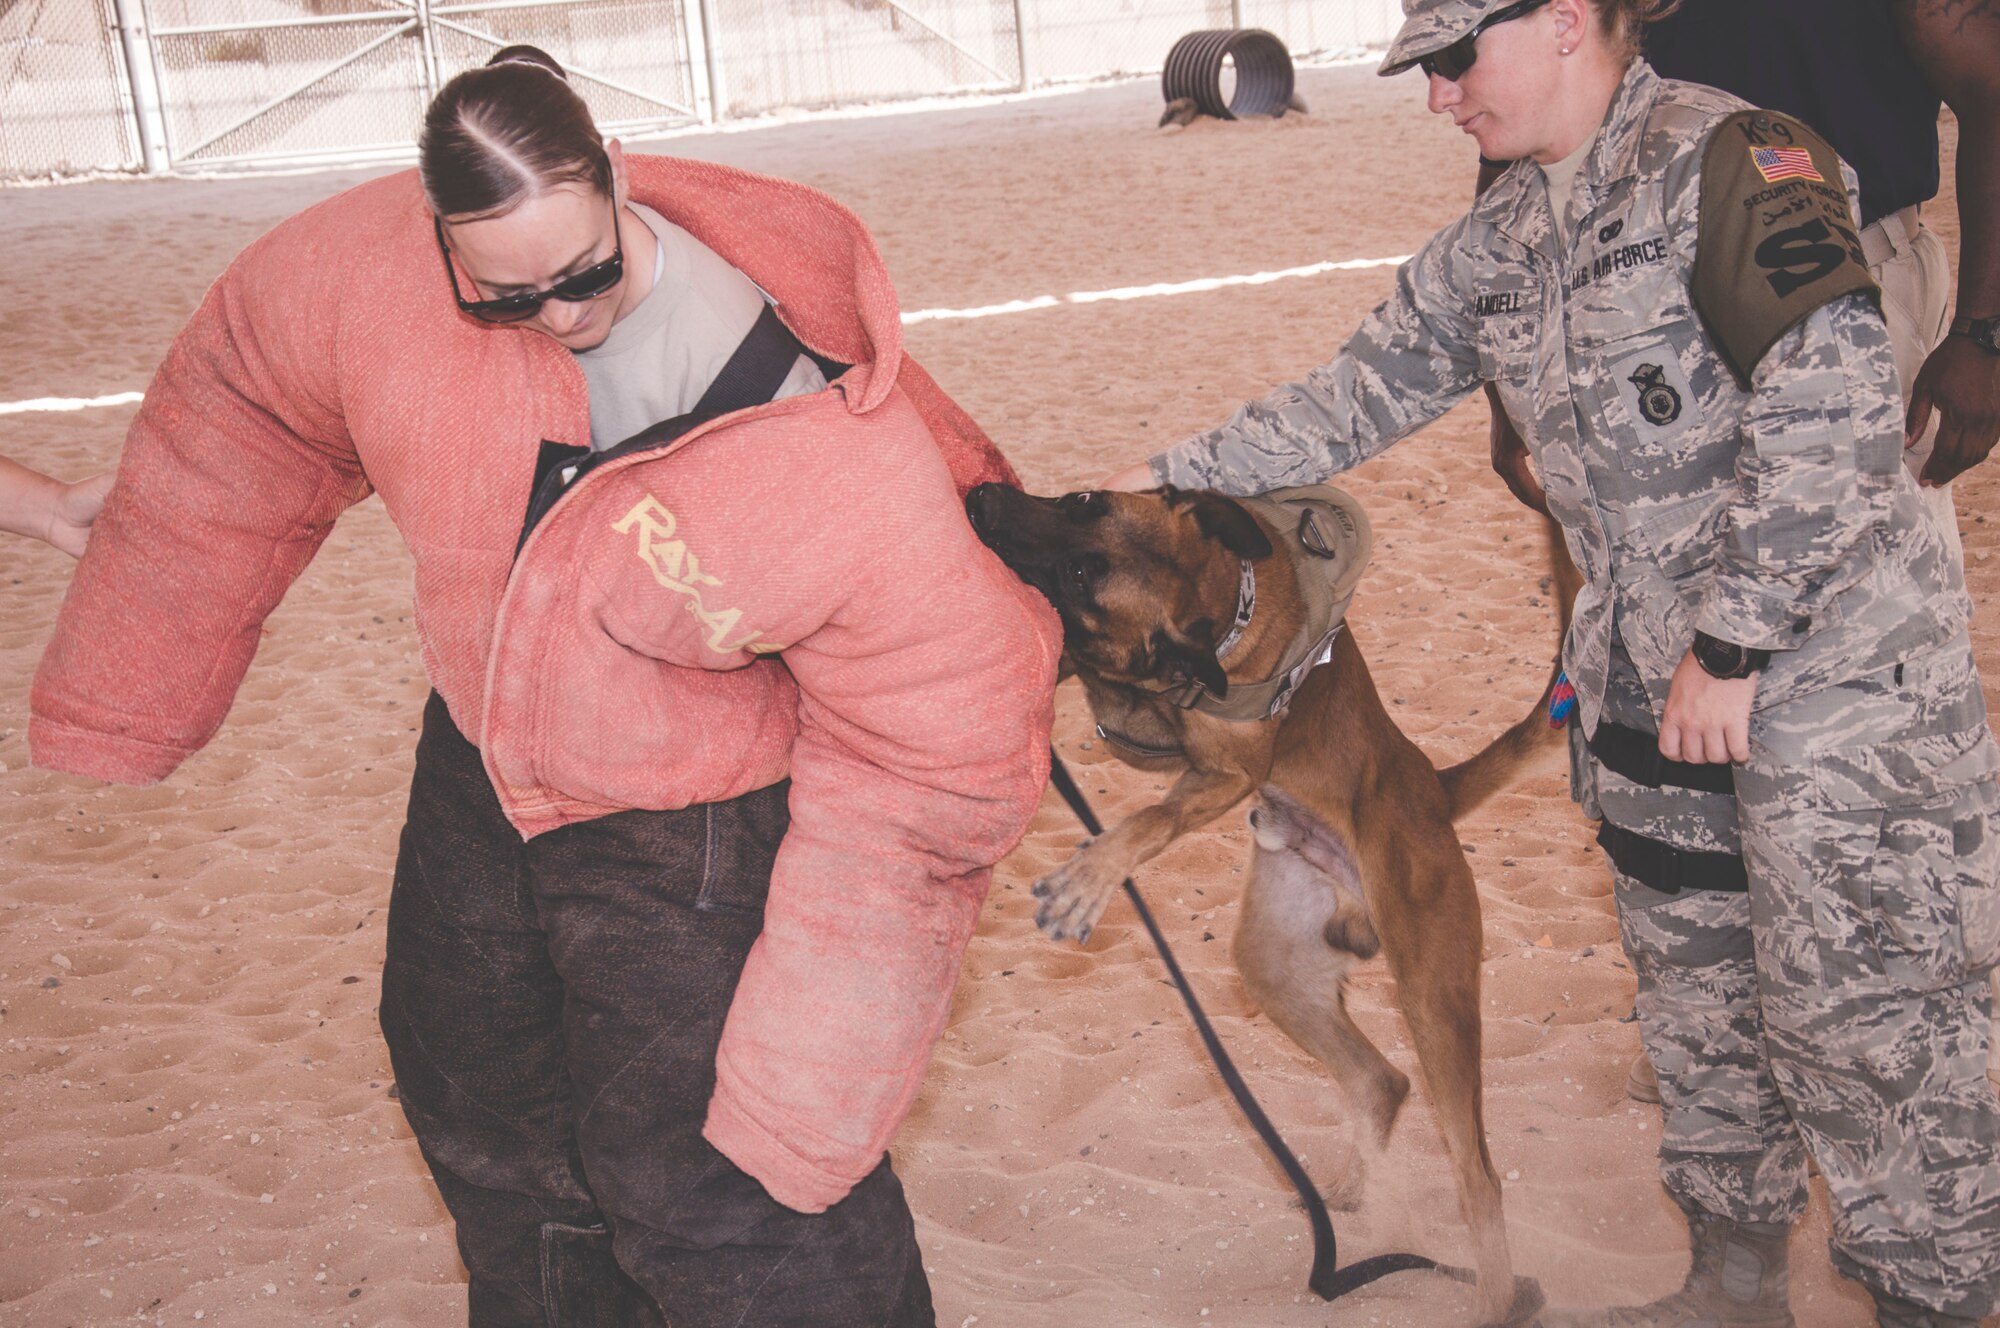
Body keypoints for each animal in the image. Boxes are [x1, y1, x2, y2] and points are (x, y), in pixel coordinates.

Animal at [968, 482, 1576, 1328]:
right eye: (1082, 498)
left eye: (1085, 578)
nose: (983, 496)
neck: (1225, 597)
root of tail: (1434, 791)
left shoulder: (1227, 774)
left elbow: (1150, 818)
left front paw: (1094, 872)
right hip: (1276, 968)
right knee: (1378, 1082)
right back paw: (1352, 1194)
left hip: (1435, 997)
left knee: (1477, 1177)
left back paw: (1492, 1299)